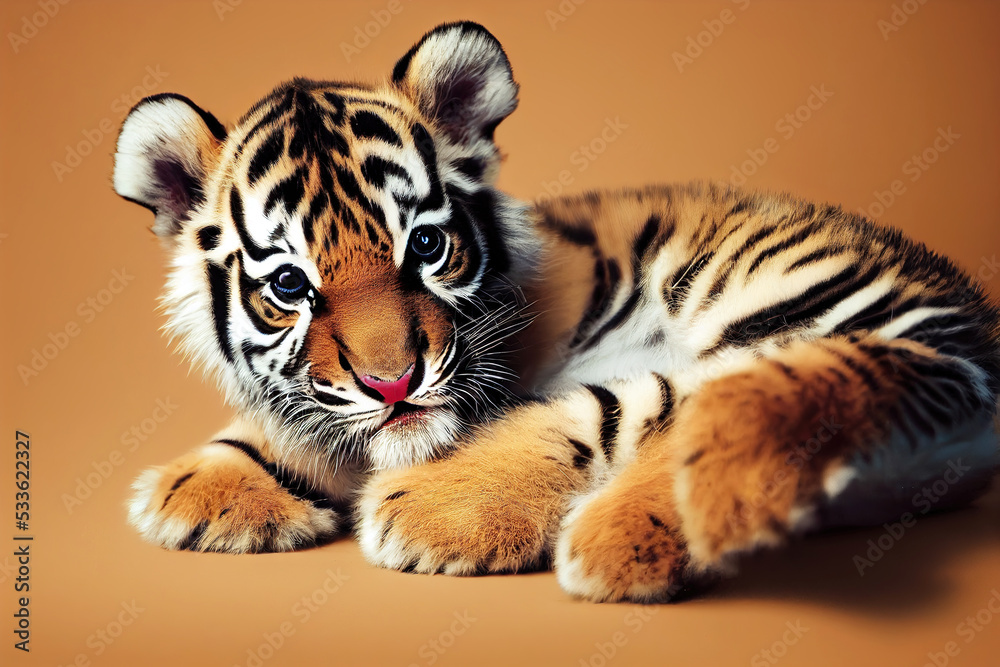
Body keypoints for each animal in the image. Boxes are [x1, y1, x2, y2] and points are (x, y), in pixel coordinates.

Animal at [112, 21, 1000, 603]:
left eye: (427, 245)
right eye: (291, 287)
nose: (393, 383)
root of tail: (970, 314)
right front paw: (205, 484)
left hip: (794, 304)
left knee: (671, 401)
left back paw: (599, 540)